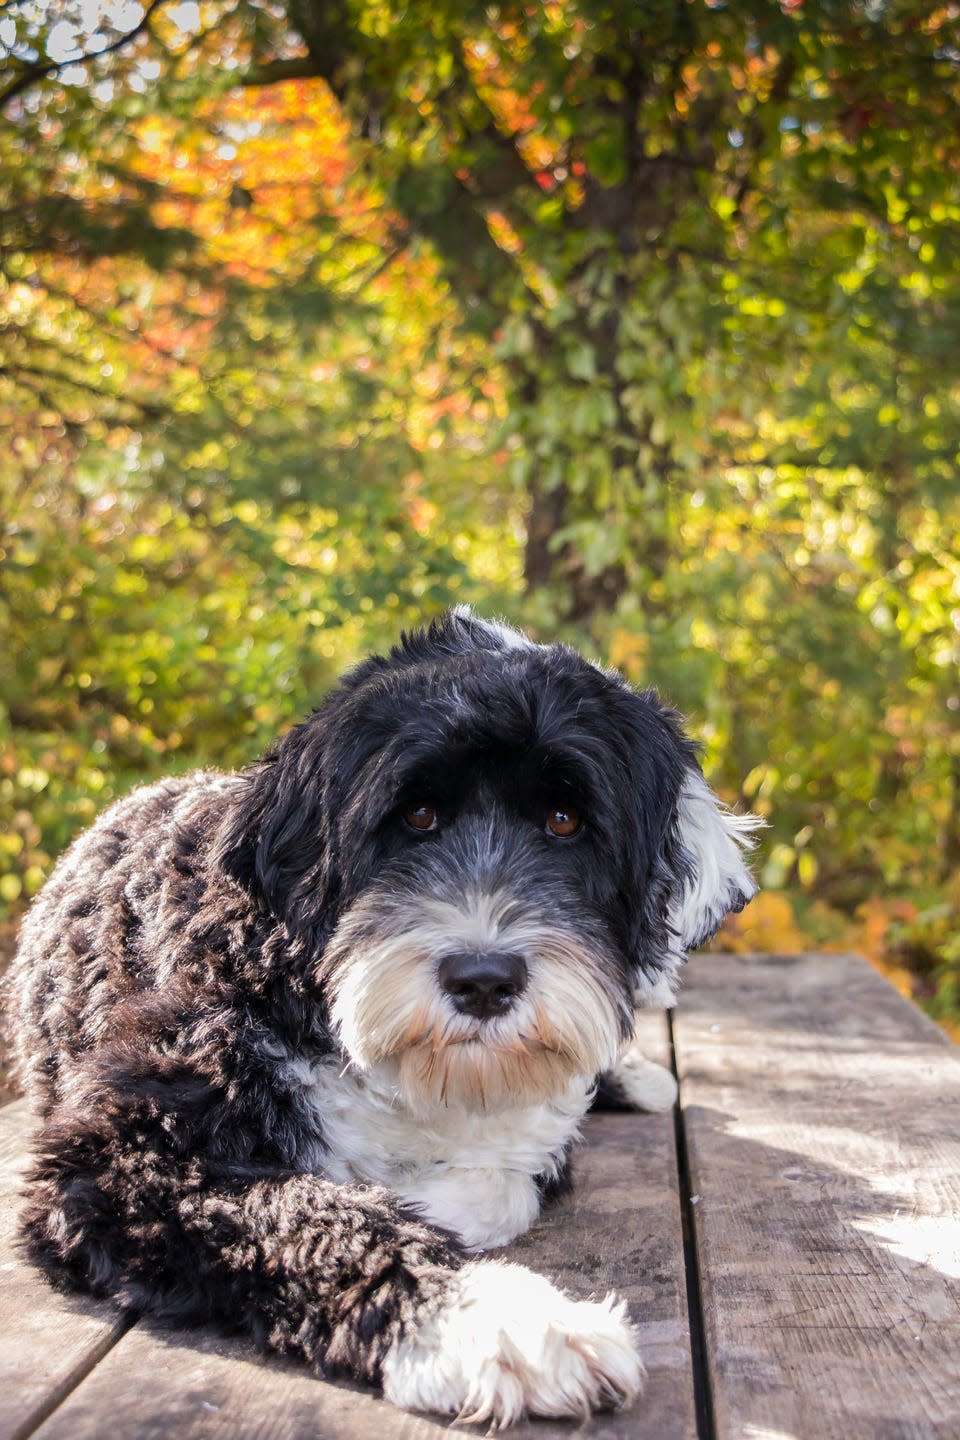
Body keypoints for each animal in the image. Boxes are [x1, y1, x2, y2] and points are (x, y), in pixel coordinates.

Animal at [5, 604, 759, 1416]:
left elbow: (503, 1185)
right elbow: (317, 1214)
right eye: (418, 814)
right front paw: (505, 1321)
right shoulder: (122, 1156)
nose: (483, 980)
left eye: (565, 820)